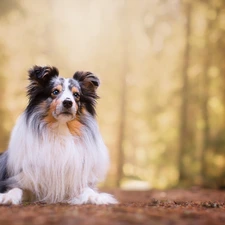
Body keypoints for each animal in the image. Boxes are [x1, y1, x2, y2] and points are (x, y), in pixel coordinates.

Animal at [0, 65, 117, 206]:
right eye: (55, 92)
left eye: (76, 95)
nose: (68, 102)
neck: (61, 129)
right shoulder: (24, 178)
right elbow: (16, 188)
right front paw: (7, 196)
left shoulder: (74, 181)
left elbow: (87, 189)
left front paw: (97, 197)